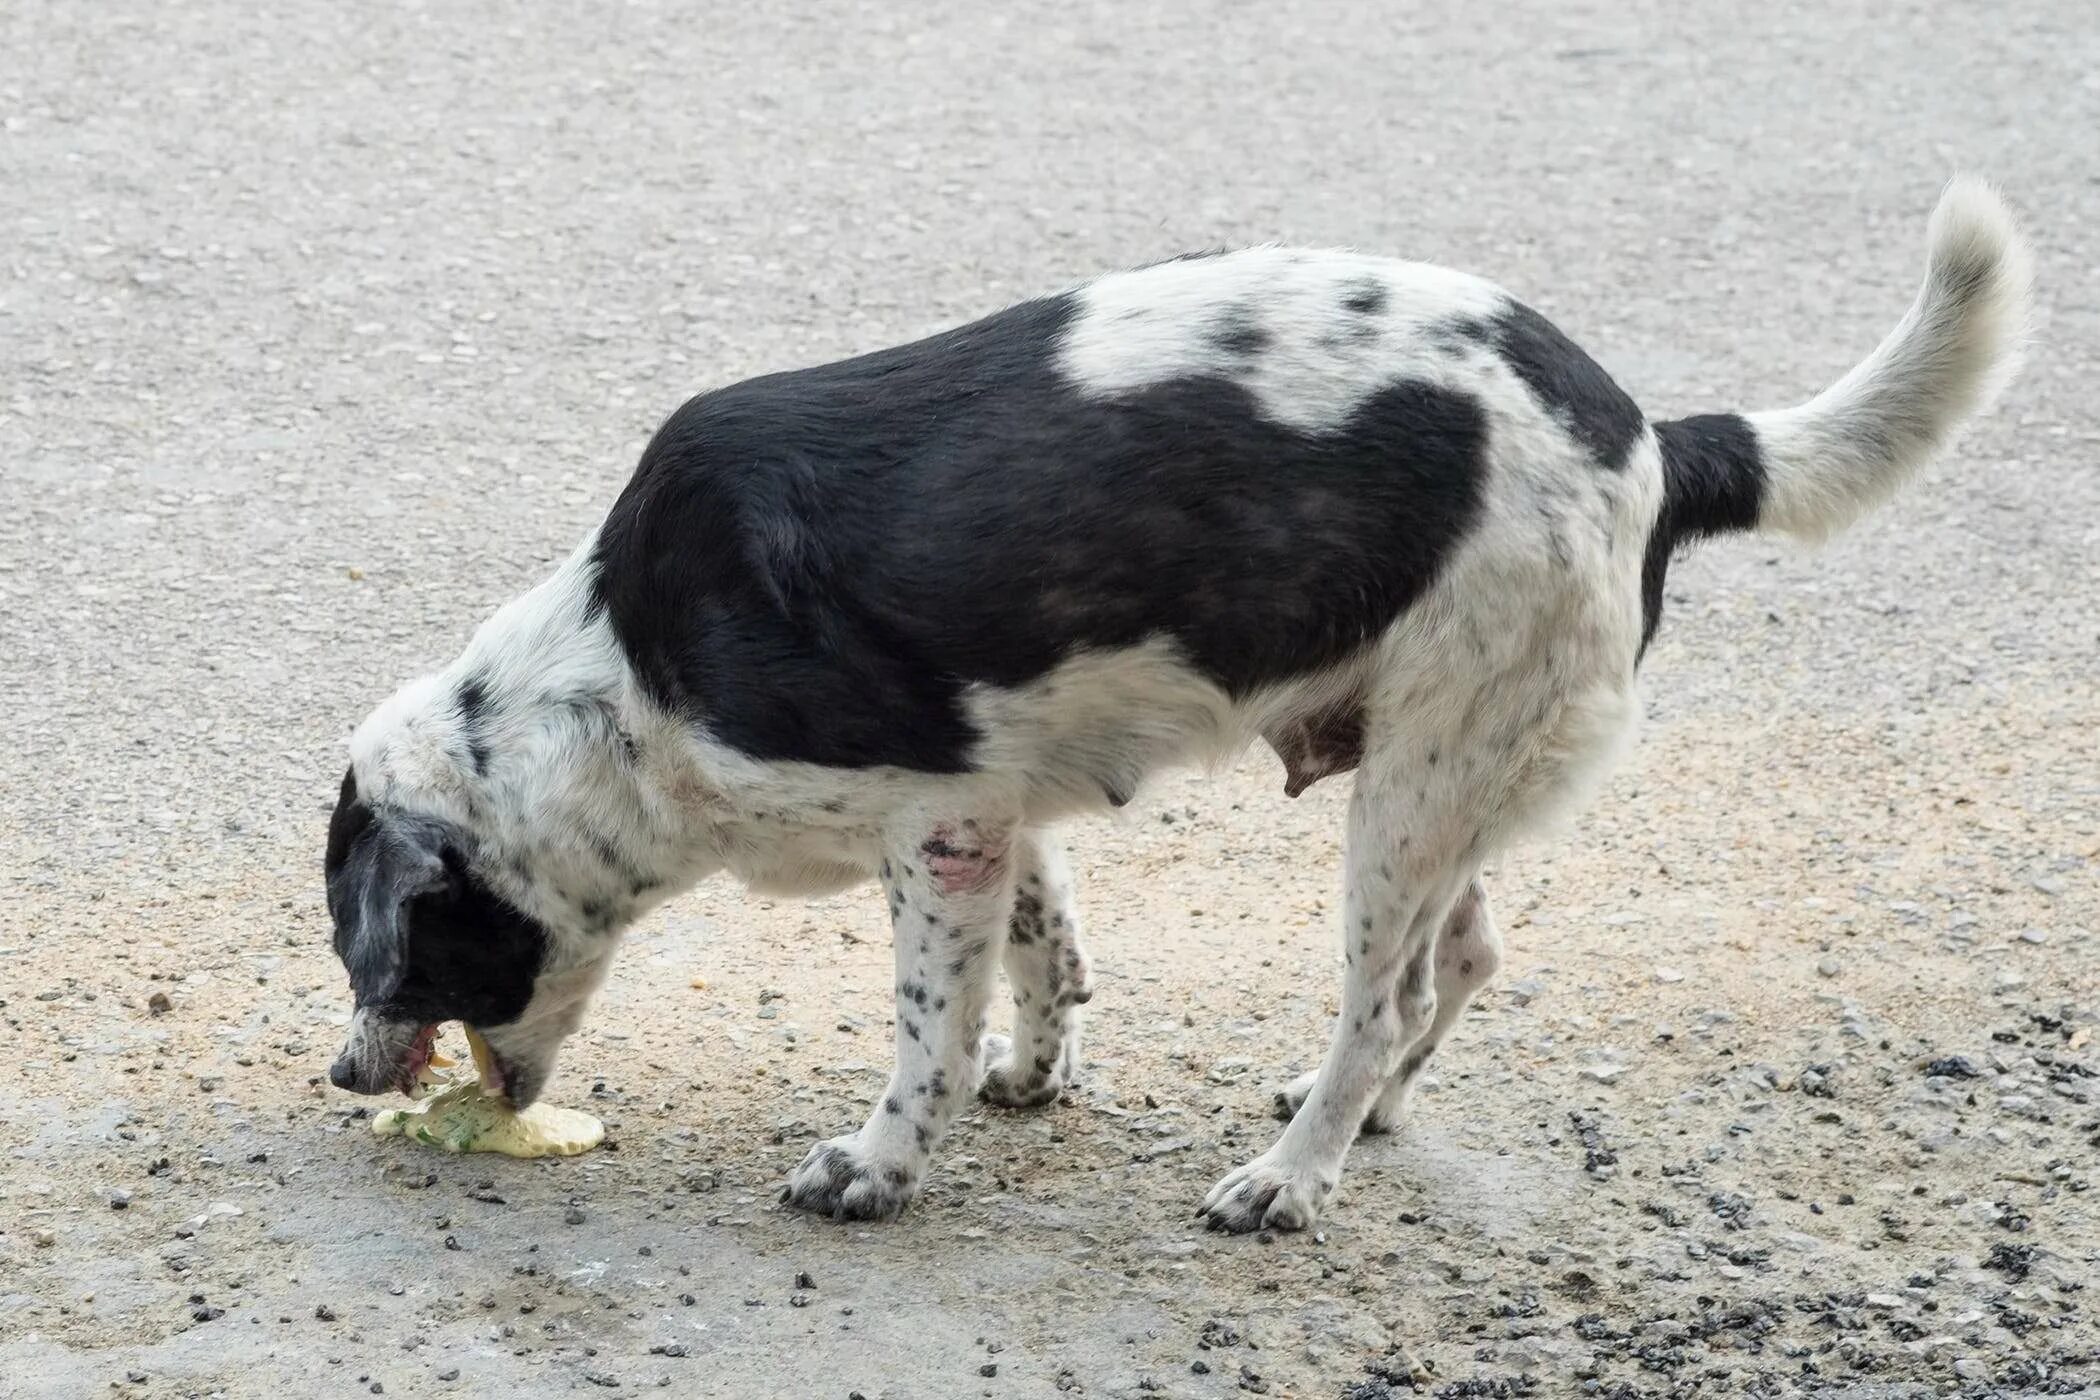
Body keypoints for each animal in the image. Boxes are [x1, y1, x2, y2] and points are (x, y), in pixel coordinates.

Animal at [331, 180, 2032, 1234]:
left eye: (382, 955)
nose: (342, 1080)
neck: (621, 674)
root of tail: (1656, 440)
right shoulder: (995, 810)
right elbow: (1046, 954)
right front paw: (1034, 1079)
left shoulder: (934, 828)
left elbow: (925, 1026)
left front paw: (881, 1163)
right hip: (1454, 770)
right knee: (1464, 956)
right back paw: (1364, 1121)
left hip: (1412, 792)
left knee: (1386, 995)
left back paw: (1291, 1177)